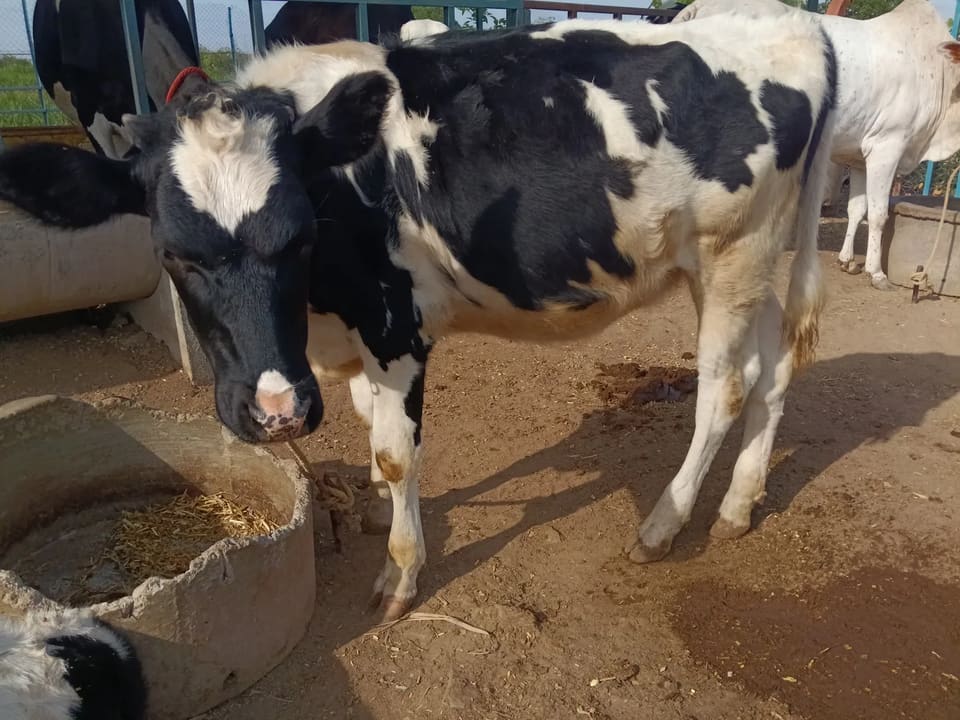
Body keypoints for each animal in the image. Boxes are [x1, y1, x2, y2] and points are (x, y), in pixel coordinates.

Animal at [0, 16, 837, 620]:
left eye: (299, 235)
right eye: (172, 253)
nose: (276, 412)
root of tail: (792, 26)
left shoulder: (394, 326)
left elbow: (398, 451)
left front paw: (400, 574)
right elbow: (370, 423)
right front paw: (375, 506)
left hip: (732, 255)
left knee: (724, 390)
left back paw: (665, 523)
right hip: (749, 262)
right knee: (773, 372)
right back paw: (737, 505)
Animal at [675, 0, 960, 290]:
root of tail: (700, 7)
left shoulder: (858, 158)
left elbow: (857, 209)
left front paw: (848, 260)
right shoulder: (887, 146)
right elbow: (878, 214)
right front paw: (877, 273)